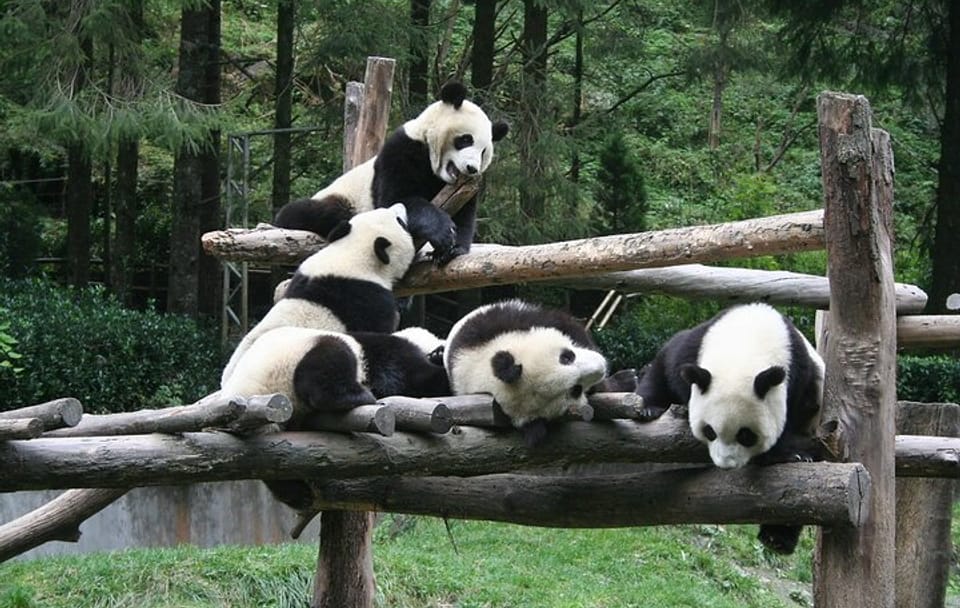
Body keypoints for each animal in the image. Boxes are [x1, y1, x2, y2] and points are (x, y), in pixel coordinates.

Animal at [221, 325, 450, 510]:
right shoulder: (391, 355)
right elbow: (418, 379)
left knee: (273, 469)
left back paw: (298, 493)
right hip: (291, 360)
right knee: (326, 367)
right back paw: (359, 396)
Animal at [274, 81, 509, 265]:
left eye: (484, 152)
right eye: (466, 139)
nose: (472, 168)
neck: (434, 167)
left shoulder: (466, 188)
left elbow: (464, 214)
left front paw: (453, 249)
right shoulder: (402, 150)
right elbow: (396, 199)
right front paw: (442, 232)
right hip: (343, 197)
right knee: (303, 212)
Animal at [634, 302, 825, 554]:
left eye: (746, 435)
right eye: (709, 431)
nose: (725, 465)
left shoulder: (802, 378)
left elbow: (793, 420)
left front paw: (790, 454)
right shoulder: (693, 346)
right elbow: (665, 366)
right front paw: (647, 408)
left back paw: (776, 539)